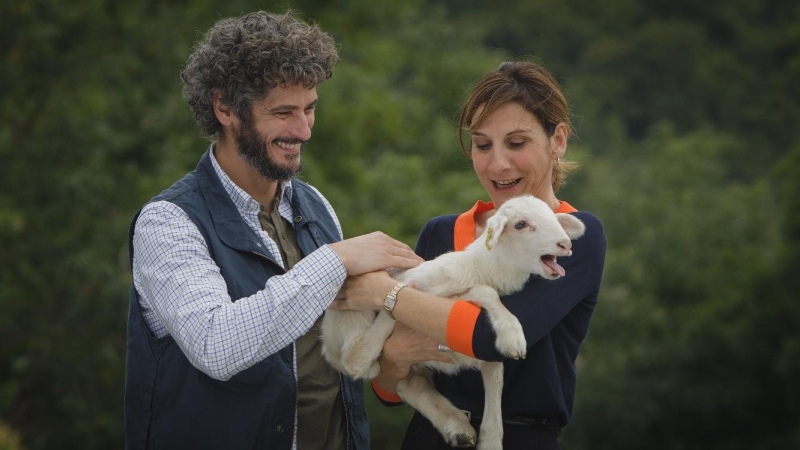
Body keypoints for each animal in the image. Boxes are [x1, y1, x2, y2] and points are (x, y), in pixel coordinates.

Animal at [320, 196, 588, 450]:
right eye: (520, 224)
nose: (565, 244)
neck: (485, 269)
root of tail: (326, 339)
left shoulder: (485, 353)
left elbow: (496, 383)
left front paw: (491, 440)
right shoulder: (433, 292)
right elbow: (483, 292)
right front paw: (513, 335)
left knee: (409, 383)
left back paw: (458, 427)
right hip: (351, 317)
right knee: (354, 360)